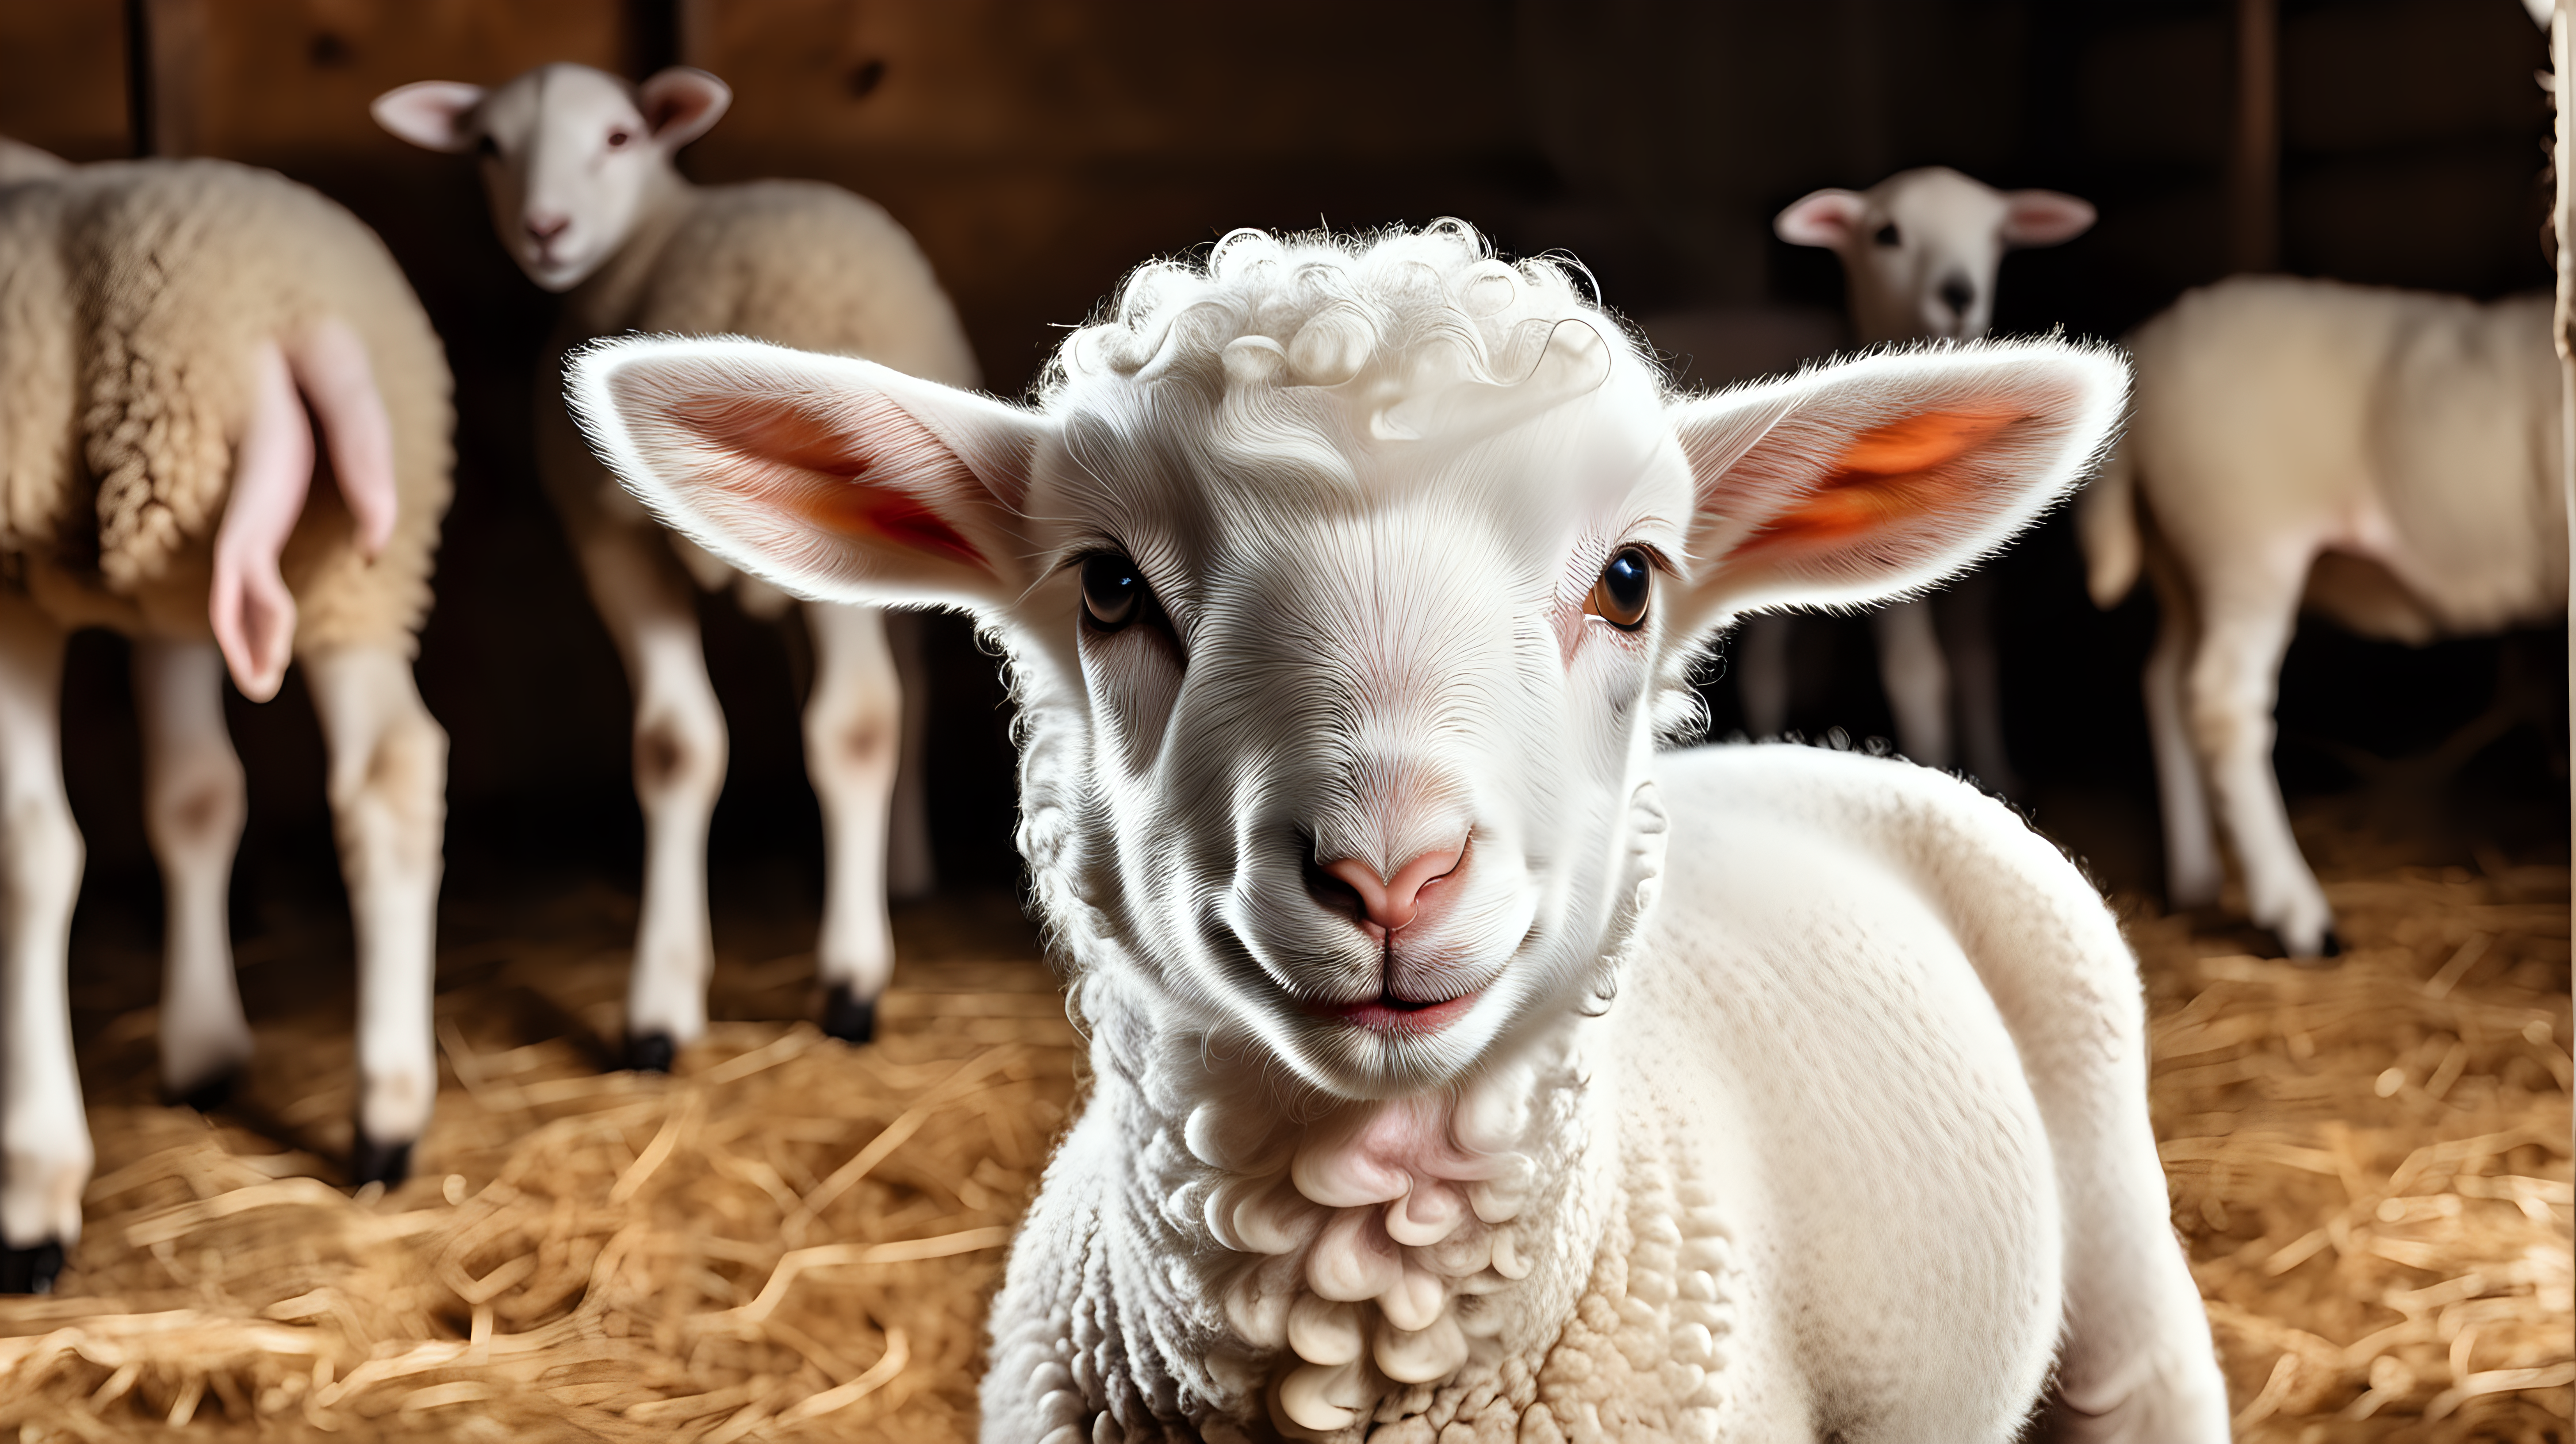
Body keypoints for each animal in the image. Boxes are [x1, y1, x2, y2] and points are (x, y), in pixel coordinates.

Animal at [0, 152, 453, 1289]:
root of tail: (302, 316)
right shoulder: (159, 607)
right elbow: (196, 796)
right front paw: (204, 1044)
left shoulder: (16, 586)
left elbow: (31, 849)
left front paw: (36, 1177)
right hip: (337, 579)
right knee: (390, 773)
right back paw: (387, 1117)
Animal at [376, 61, 984, 1068]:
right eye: (489, 146)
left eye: (620, 137)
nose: (545, 229)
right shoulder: (616, 539)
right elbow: (676, 747)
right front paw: (662, 1006)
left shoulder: (614, 532)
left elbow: (847, 729)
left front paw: (847, 985)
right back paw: (898, 871)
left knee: (866, 712)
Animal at [1741, 171, 2102, 799]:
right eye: (1886, 234)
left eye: (1998, 235)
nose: (1959, 295)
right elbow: (1917, 672)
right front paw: (1932, 774)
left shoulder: (1976, 572)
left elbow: (1974, 663)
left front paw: (1994, 773)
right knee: (1764, 661)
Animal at [2081, 280, 2565, 959]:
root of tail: (2147, 346)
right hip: (2245, 541)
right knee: (2222, 703)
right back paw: (2298, 916)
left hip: (2176, 559)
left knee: (2164, 683)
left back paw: (2195, 880)